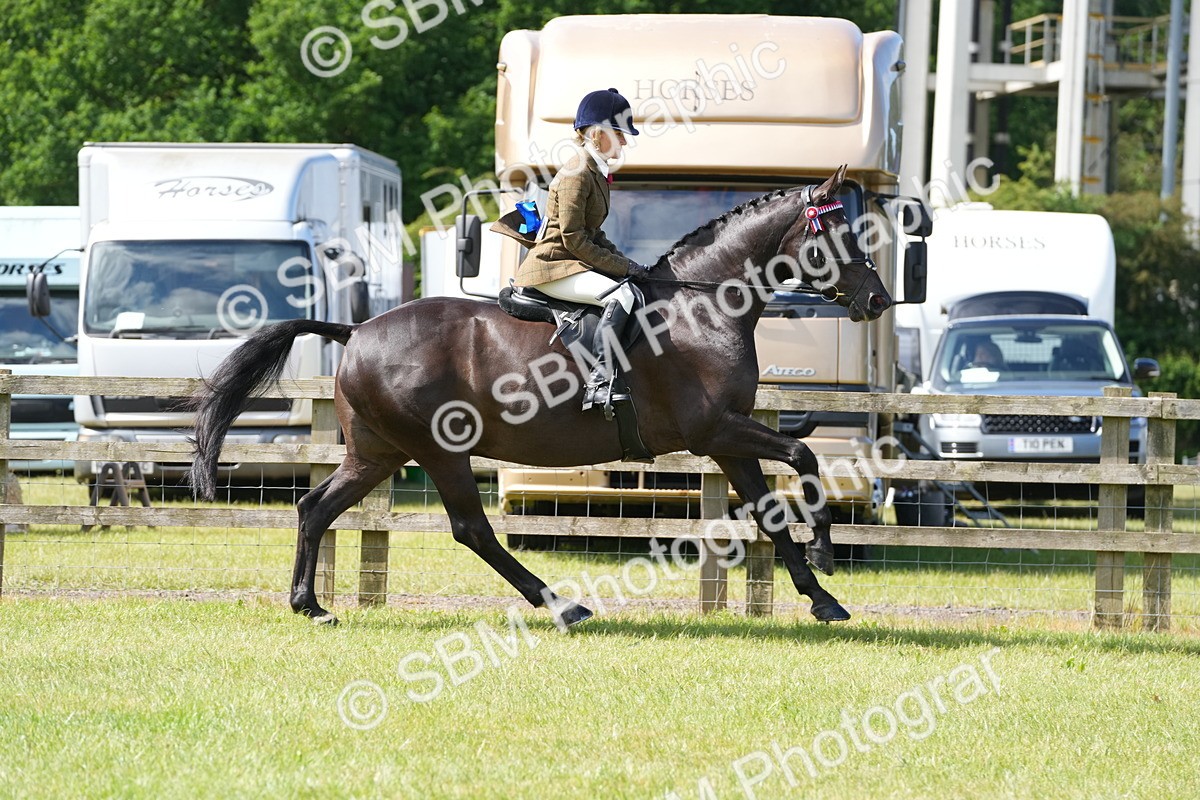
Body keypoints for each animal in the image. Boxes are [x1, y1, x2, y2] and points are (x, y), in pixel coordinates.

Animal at [188, 166, 892, 627]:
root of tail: (356, 329)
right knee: (471, 529)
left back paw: (309, 605)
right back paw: (561, 605)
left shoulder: (729, 439)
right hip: (438, 449)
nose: (879, 300)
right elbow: (803, 457)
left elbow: (771, 509)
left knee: (315, 507)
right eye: (838, 235)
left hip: (379, 451)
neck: (706, 305)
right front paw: (827, 554)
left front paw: (822, 598)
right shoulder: (714, 429)